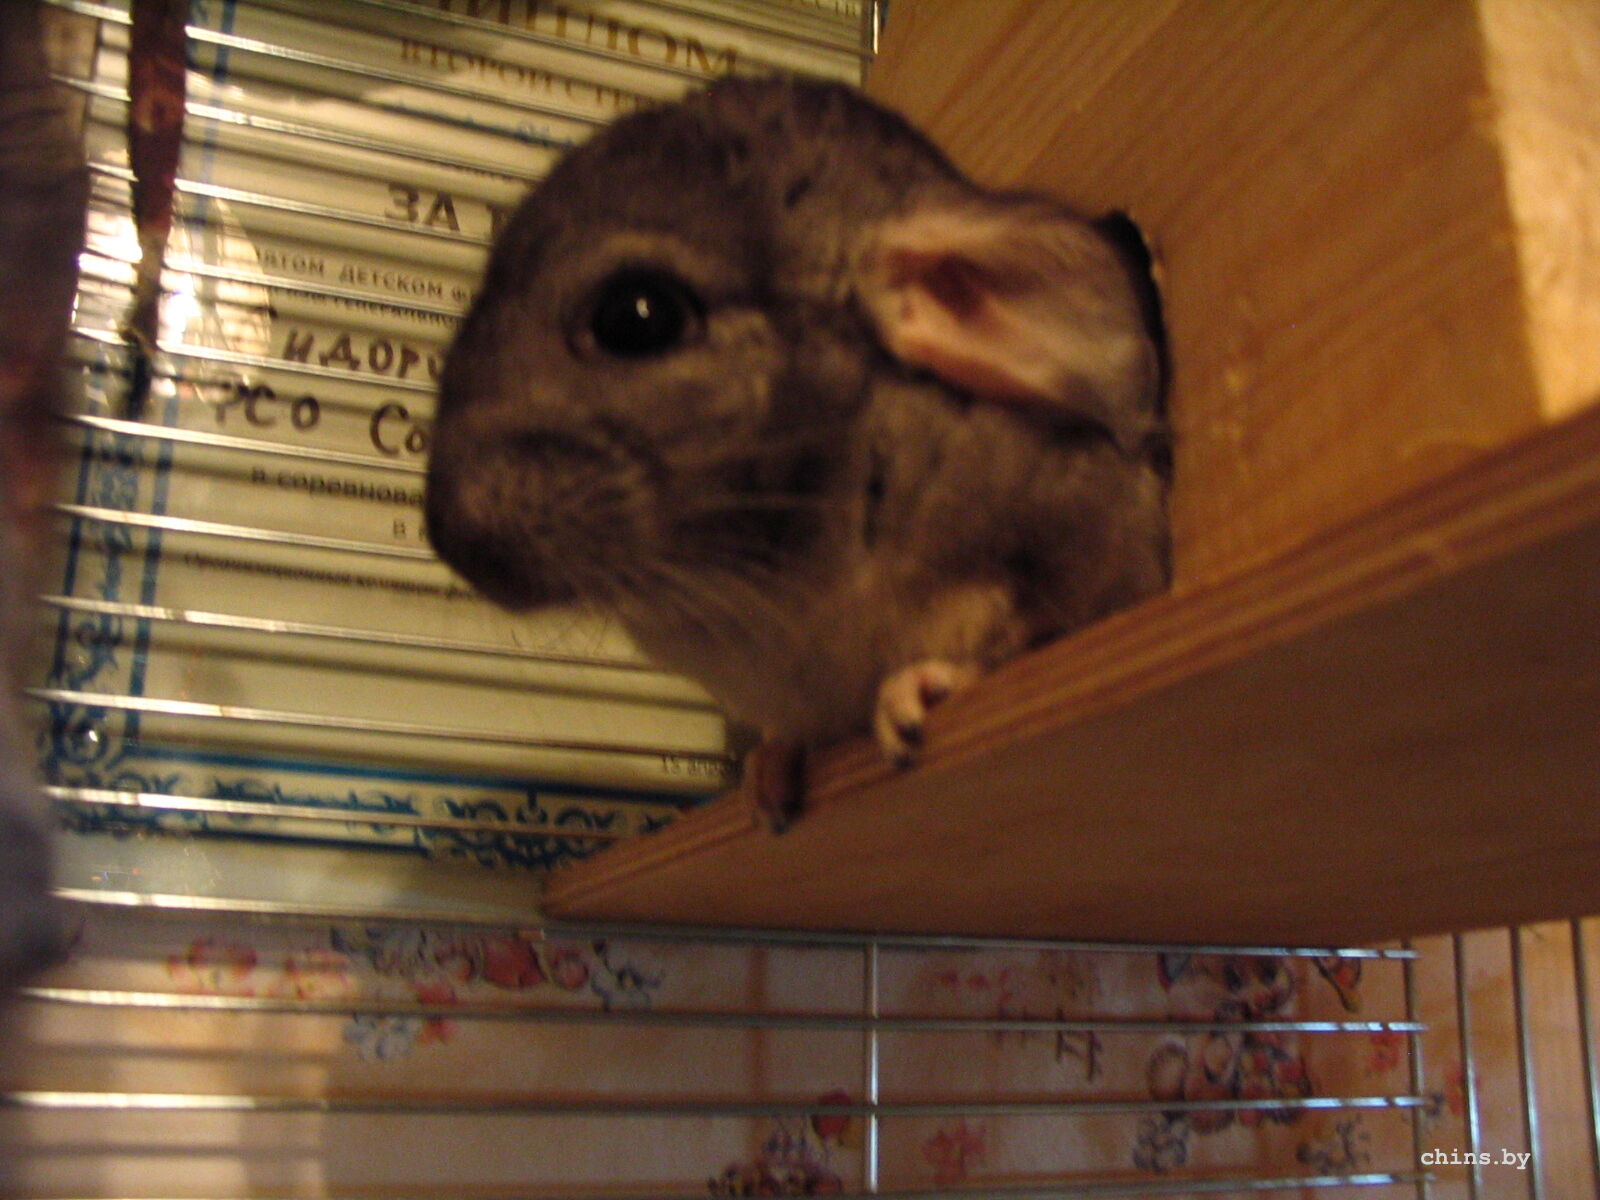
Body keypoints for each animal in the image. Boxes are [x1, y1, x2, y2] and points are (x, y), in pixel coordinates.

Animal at [425, 76, 1168, 821]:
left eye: (637, 317)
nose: (454, 542)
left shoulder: (1092, 541)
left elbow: (1037, 626)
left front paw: (916, 693)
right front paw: (768, 777)